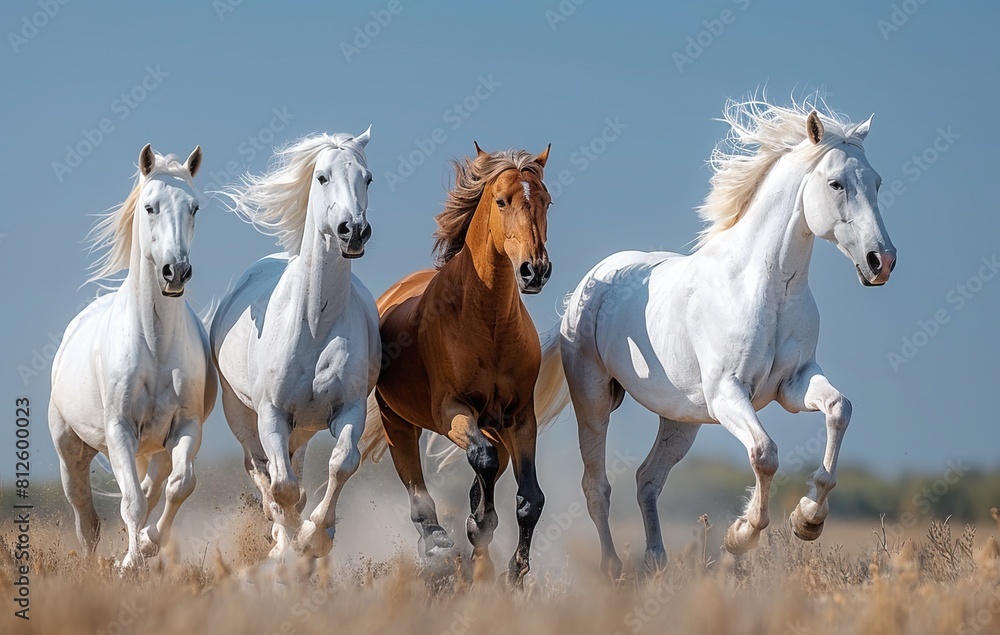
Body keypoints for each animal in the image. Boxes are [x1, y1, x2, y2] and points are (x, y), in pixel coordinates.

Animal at [48, 144, 217, 568]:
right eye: (150, 206)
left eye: (194, 208)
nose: (176, 272)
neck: (155, 346)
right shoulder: (120, 431)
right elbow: (132, 504)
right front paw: (129, 565)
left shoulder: (186, 428)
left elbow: (178, 486)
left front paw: (147, 545)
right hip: (70, 451)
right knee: (86, 518)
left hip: (155, 447)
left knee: (152, 486)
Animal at [211, 130, 380, 561]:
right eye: (322, 176)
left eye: (367, 178)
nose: (353, 231)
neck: (314, 325)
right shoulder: (271, 414)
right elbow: (281, 487)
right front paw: (290, 545)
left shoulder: (349, 407)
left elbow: (342, 463)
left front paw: (316, 535)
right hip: (241, 414)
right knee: (261, 471)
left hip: (302, 427)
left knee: (293, 468)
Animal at [360, 143, 560, 585]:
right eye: (502, 201)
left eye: (546, 201)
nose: (535, 270)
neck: (488, 323)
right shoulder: (450, 410)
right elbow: (482, 464)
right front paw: (477, 526)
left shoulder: (520, 418)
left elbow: (531, 499)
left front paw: (515, 573)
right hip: (398, 423)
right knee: (418, 488)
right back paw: (436, 541)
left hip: (494, 426)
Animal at [531, 99, 898, 578]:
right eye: (836, 183)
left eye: (876, 182)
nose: (881, 261)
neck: (768, 287)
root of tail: (587, 288)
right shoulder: (728, 393)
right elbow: (765, 453)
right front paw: (741, 535)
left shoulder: (795, 384)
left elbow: (839, 409)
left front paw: (808, 520)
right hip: (593, 401)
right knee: (597, 486)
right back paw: (614, 569)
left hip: (680, 419)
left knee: (647, 480)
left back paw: (656, 562)